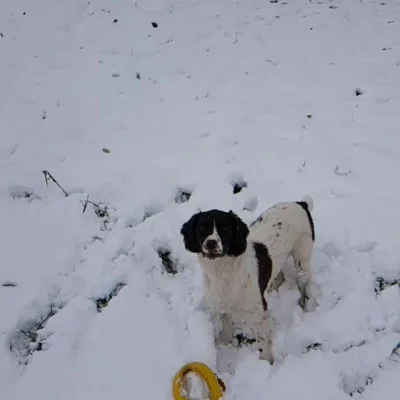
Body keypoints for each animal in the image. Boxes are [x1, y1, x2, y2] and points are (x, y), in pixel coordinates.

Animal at [181, 195, 316, 364]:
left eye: (225, 228)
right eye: (201, 228)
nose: (211, 243)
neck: (222, 272)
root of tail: (299, 203)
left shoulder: (259, 314)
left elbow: (263, 342)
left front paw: (266, 364)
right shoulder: (222, 305)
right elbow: (226, 326)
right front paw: (225, 343)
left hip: (302, 259)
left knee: (302, 283)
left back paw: (302, 303)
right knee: (279, 275)